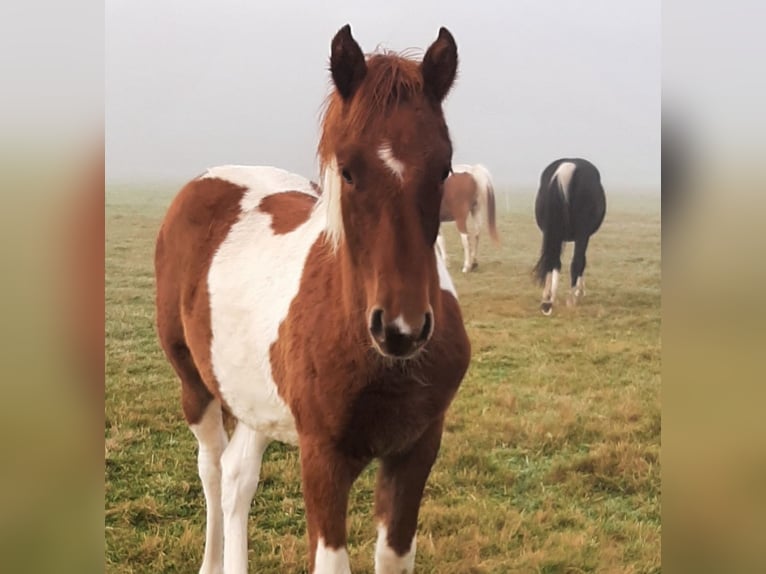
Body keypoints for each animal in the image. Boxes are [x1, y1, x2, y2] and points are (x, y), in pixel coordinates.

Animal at [153, 24, 472, 572]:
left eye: (444, 168)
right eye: (347, 170)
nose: (401, 329)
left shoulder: (415, 450)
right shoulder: (322, 456)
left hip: (254, 396)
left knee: (238, 477)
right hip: (196, 385)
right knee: (213, 471)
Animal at [536, 158, 608, 316]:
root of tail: (567, 168)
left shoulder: (557, 236)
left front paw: (549, 296)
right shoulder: (583, 236)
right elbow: (581, 262)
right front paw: (579, 292)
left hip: (551, 233)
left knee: (552, 260)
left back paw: (547, 301)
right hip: (581, 234)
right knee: (576, 262)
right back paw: (571, 300)